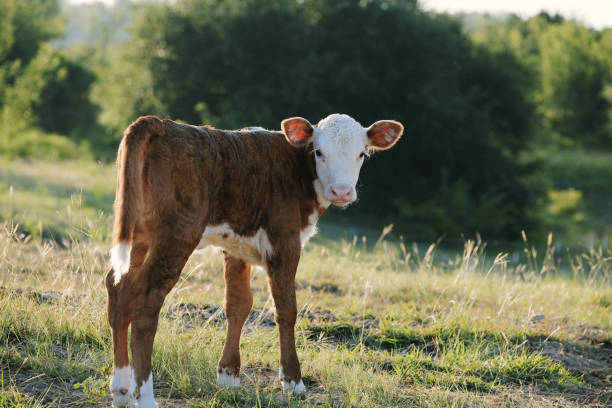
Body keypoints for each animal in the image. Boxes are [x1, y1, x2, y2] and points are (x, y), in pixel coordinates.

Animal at [105, 113, 402, 406]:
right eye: (318, 151)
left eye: (361, 153)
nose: (341, 191)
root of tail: (159, 123)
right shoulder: (284, 243)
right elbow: (286, 309)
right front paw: (293, 381)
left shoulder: (236, 246)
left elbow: (238, 305)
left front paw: (228, 375)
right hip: (177, 235)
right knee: (146, 298)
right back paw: (144, 396)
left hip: (136, 232)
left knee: (119, 287)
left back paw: (121, 389)